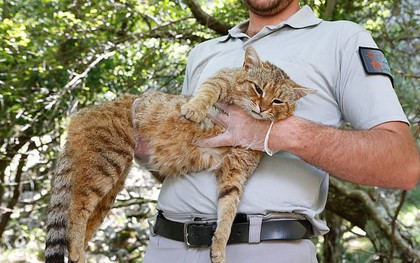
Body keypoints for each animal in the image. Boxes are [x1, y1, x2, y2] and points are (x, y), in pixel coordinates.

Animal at [45, 46, 316, 262]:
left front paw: (219, 246)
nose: (262, 108)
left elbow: (228, 210)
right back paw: (77, 251)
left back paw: (77, 249)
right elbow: (207, 92)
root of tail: (82, 114)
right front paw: (193, 109)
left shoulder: (235, 172)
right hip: (106, 162)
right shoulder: (221, 79)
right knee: (76, 210)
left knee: (83, 220)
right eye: (258, 89)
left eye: (278, 101)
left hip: (111, 184)